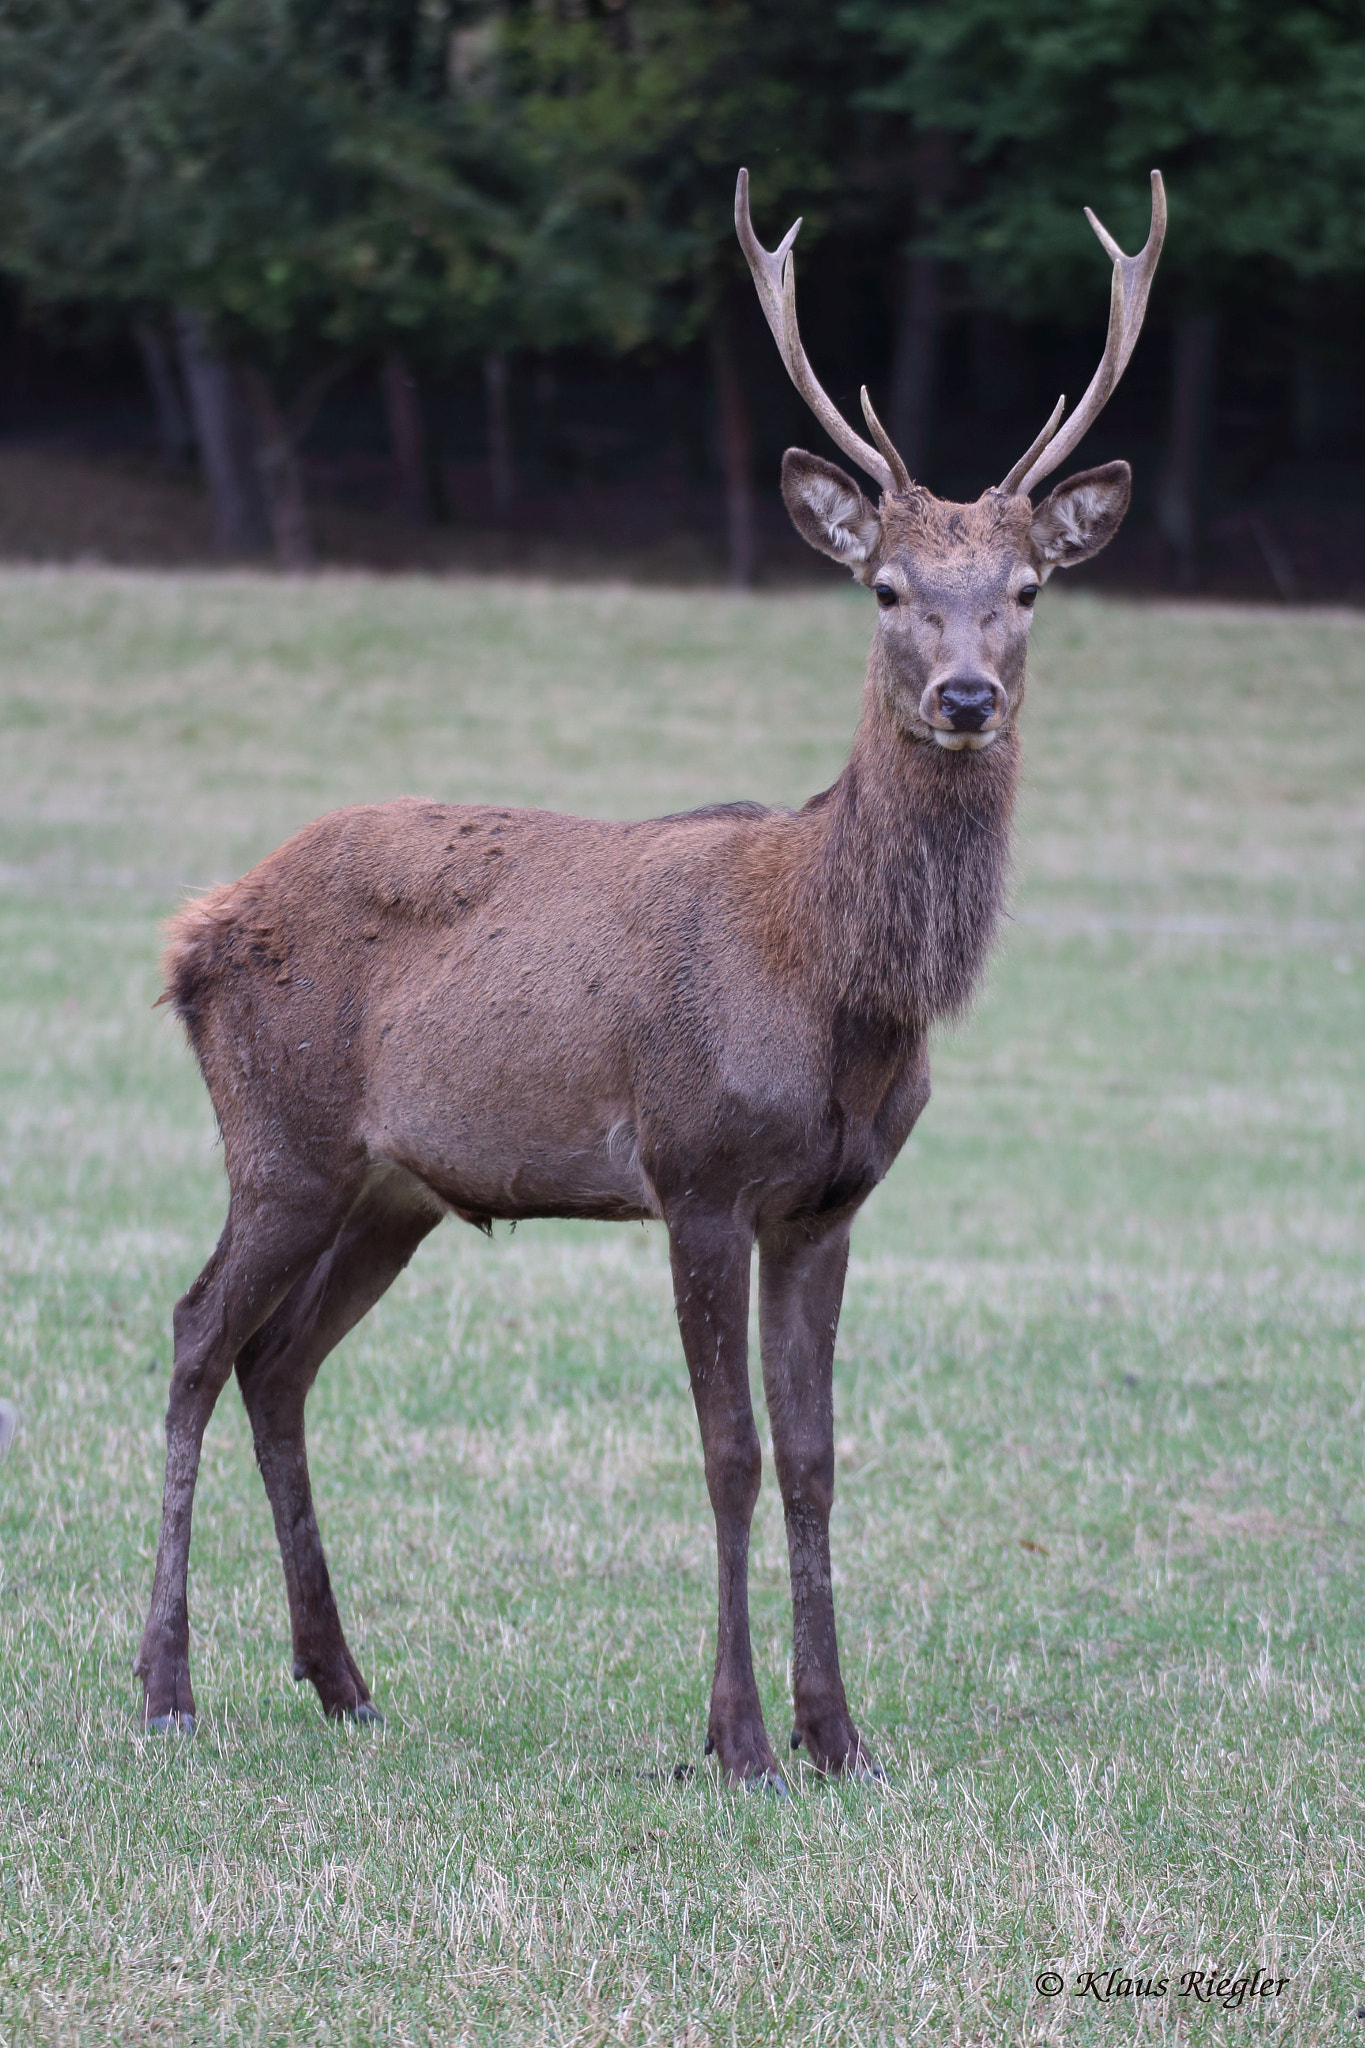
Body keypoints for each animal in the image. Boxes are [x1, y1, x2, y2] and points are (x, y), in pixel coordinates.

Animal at [136, 168, 1164, 1792]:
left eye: (1026, 589)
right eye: (884, 588)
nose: (965, 695)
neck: (838, 992)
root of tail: (194, 932)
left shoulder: (830, 1203)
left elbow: (814, 1457)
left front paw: (839, 1732)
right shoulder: (697, 1169)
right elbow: (728, 1449)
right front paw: (738, 1738)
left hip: (391, 1184)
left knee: (278, 1361)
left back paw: (344, 1680)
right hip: (280, 1136)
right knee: (193, 1336)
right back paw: (168, 1685)